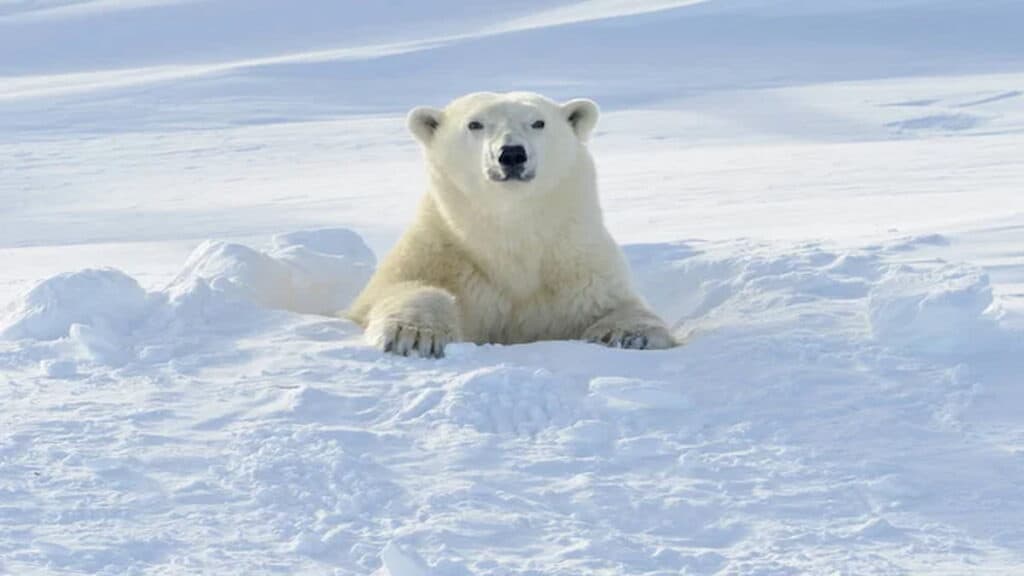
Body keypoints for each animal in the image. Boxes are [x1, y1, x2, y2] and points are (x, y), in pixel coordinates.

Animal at [347, 92, 675, 358]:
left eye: (538, 122)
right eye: (475, 124)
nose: (512, 153)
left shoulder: (575, 263)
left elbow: (617, 304)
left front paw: (627, 334)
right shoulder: (440, 252)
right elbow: (400, 289)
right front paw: (414, 335)